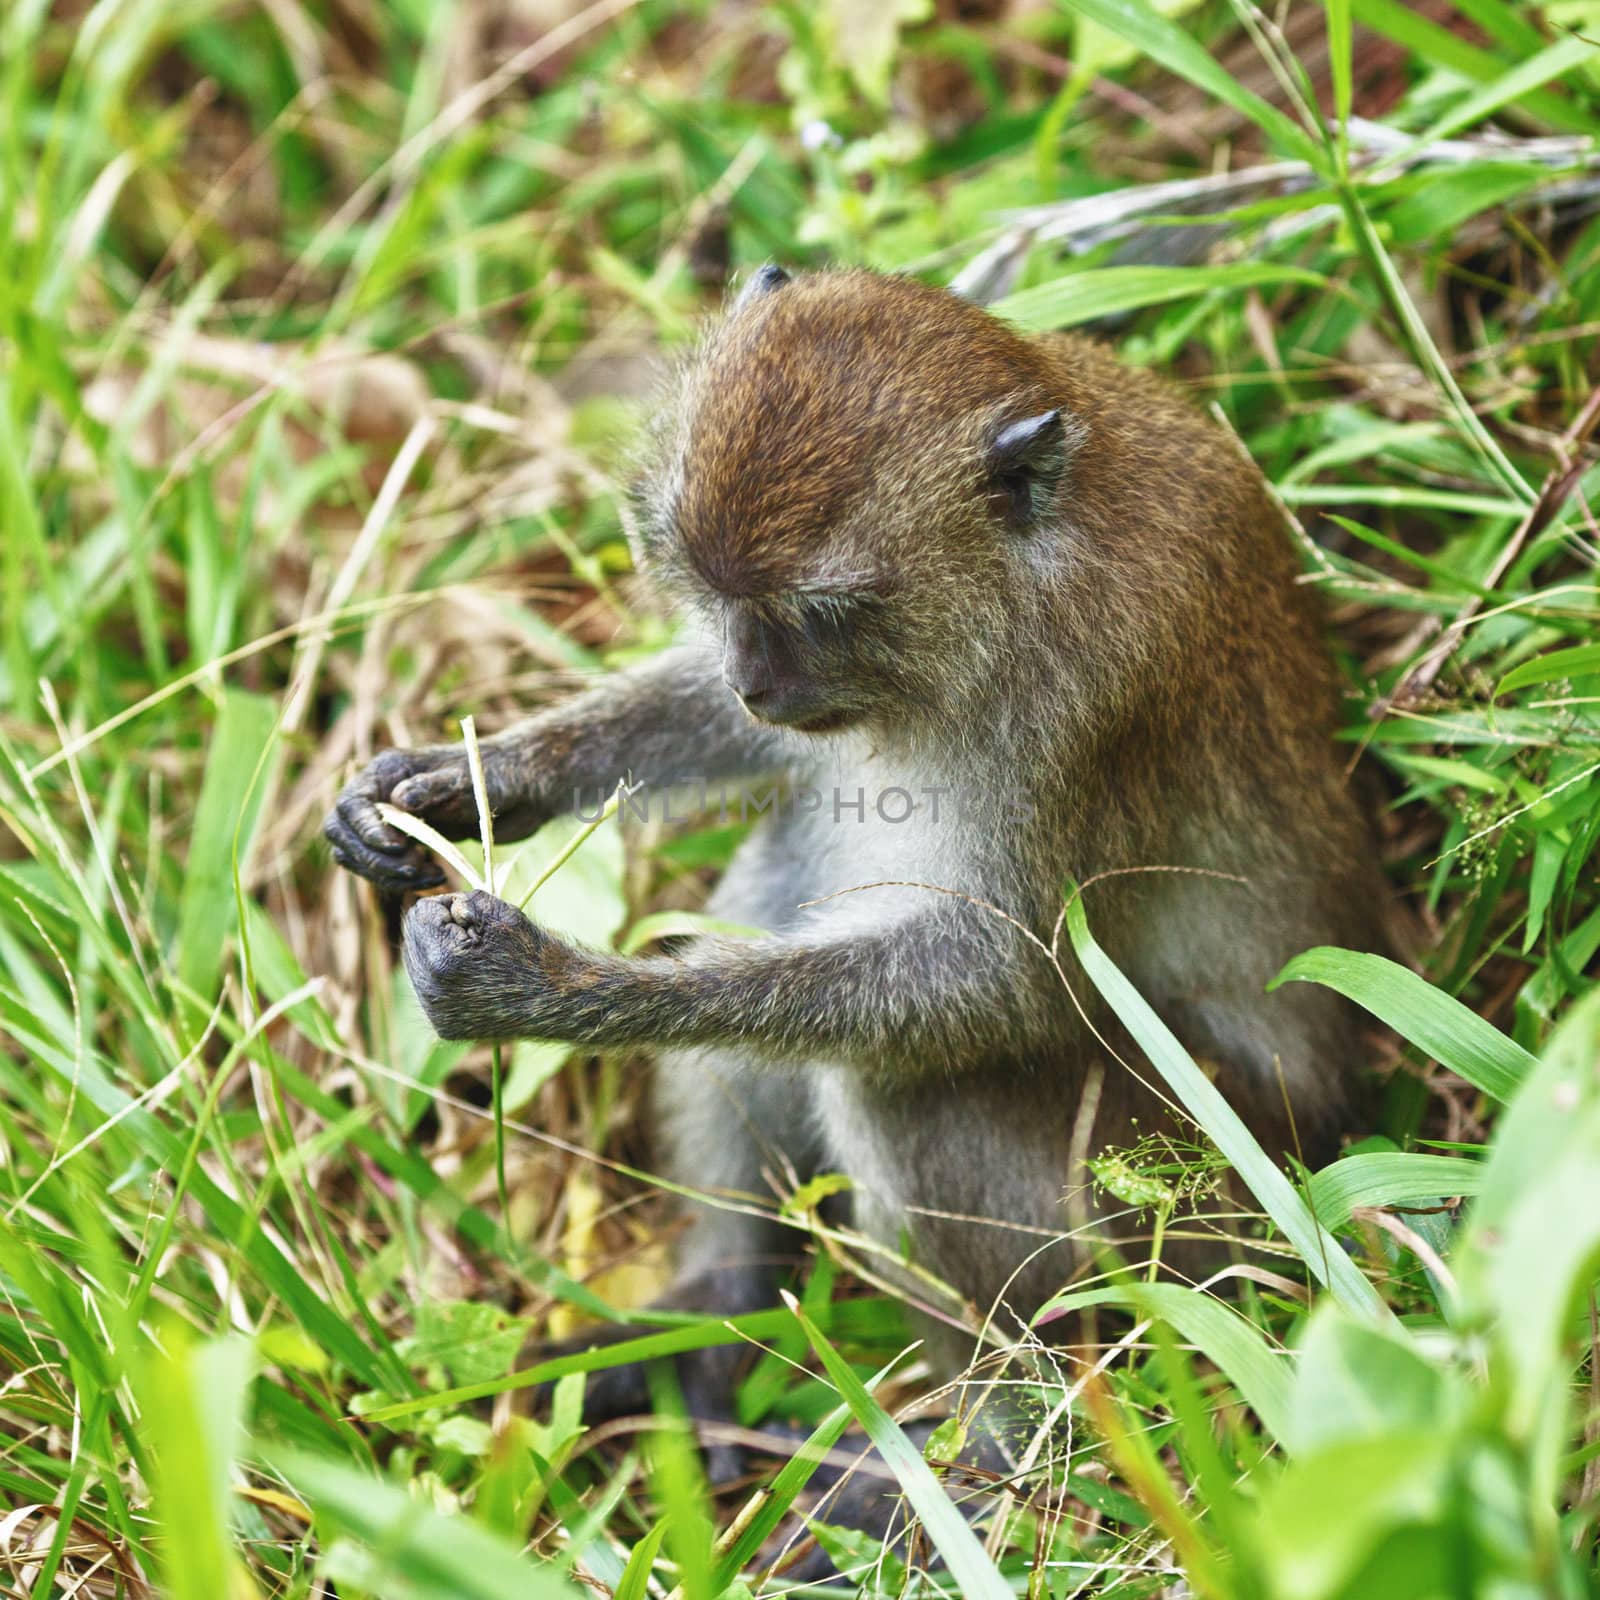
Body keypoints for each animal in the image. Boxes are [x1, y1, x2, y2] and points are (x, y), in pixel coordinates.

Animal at [324, 262, 1388, 1414]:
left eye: (828, 610)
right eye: (714, 590)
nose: (755, 680)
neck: (1027, 570)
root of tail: (1325, 1124)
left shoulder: (1089, 698)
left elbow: (1004, 981)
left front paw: (544, 986)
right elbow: (722, 735)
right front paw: (457, 781)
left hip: (1182, 1202)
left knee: (896, 1083)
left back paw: (996, 1427)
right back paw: (728, 1294)